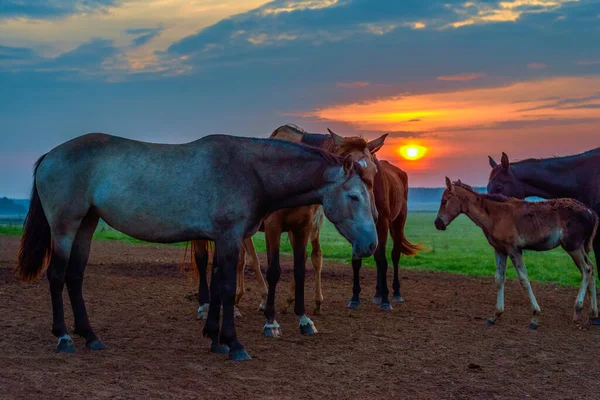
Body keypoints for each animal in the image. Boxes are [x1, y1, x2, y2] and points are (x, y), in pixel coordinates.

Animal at [16, 133, 378, 360]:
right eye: (354, 196)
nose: (372, 243)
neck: (251, 171)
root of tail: (51, 156)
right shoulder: (230, 237)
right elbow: (227, 286)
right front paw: (234, 343)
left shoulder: (222, 237)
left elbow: (217, 285)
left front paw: (215, 338)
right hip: (66, 227)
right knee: (57, 275)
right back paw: (64, 338)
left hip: (87, 225)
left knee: (74, 276)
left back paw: (90, 336)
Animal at [434, 177, 596, 328]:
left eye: (444, 200)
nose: (438, 223)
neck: (495, 215)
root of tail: (590, 212)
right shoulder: (500, 250)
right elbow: (499, 279)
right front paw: (495, 315)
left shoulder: (514, 250)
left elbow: (524, 279)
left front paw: (535, 316)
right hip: (579, 247)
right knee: (591, 269)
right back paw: (593, 314)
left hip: (572, 247)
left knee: (586, 269)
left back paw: (578, 310)